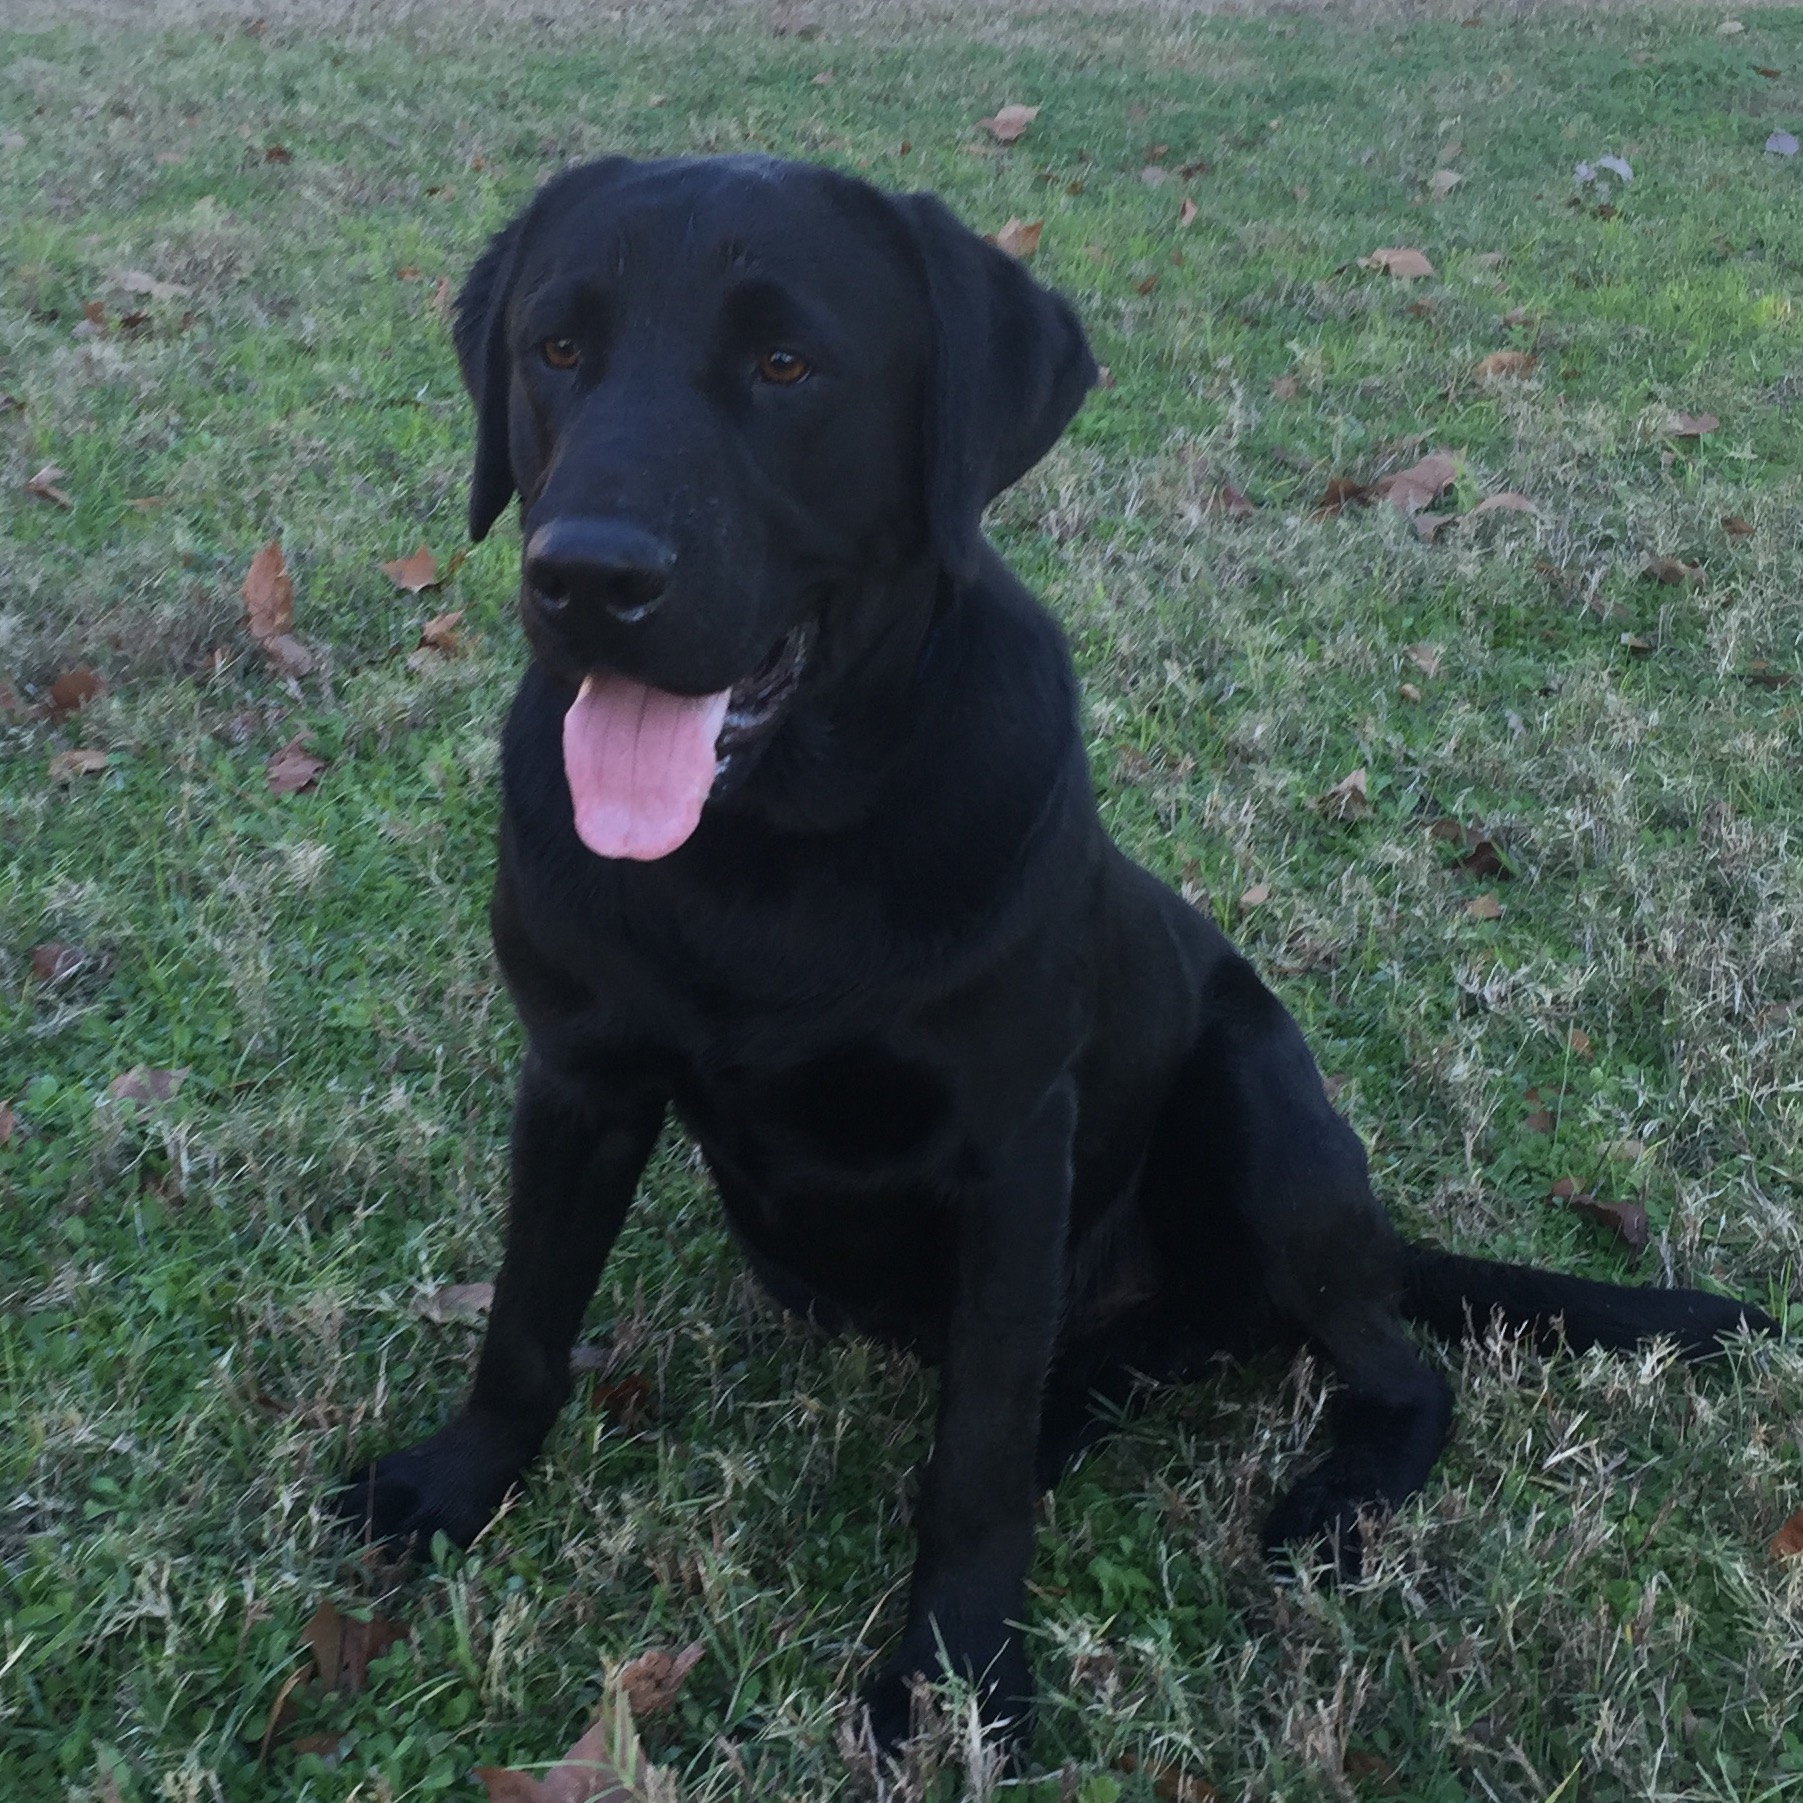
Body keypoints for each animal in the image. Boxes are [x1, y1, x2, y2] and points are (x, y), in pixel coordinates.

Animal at [344, 155, 1781, 1759]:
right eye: (557, 348)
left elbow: (967, 1463)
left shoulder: (1010, 1139)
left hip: (1253, 1101)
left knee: (1393, 1364)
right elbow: (525, 1322)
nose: (587, 577)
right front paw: (450, 1487)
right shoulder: (579, 1078)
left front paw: (954, 1672)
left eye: (784, 365)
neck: (766, 842)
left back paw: (1334, 1495)